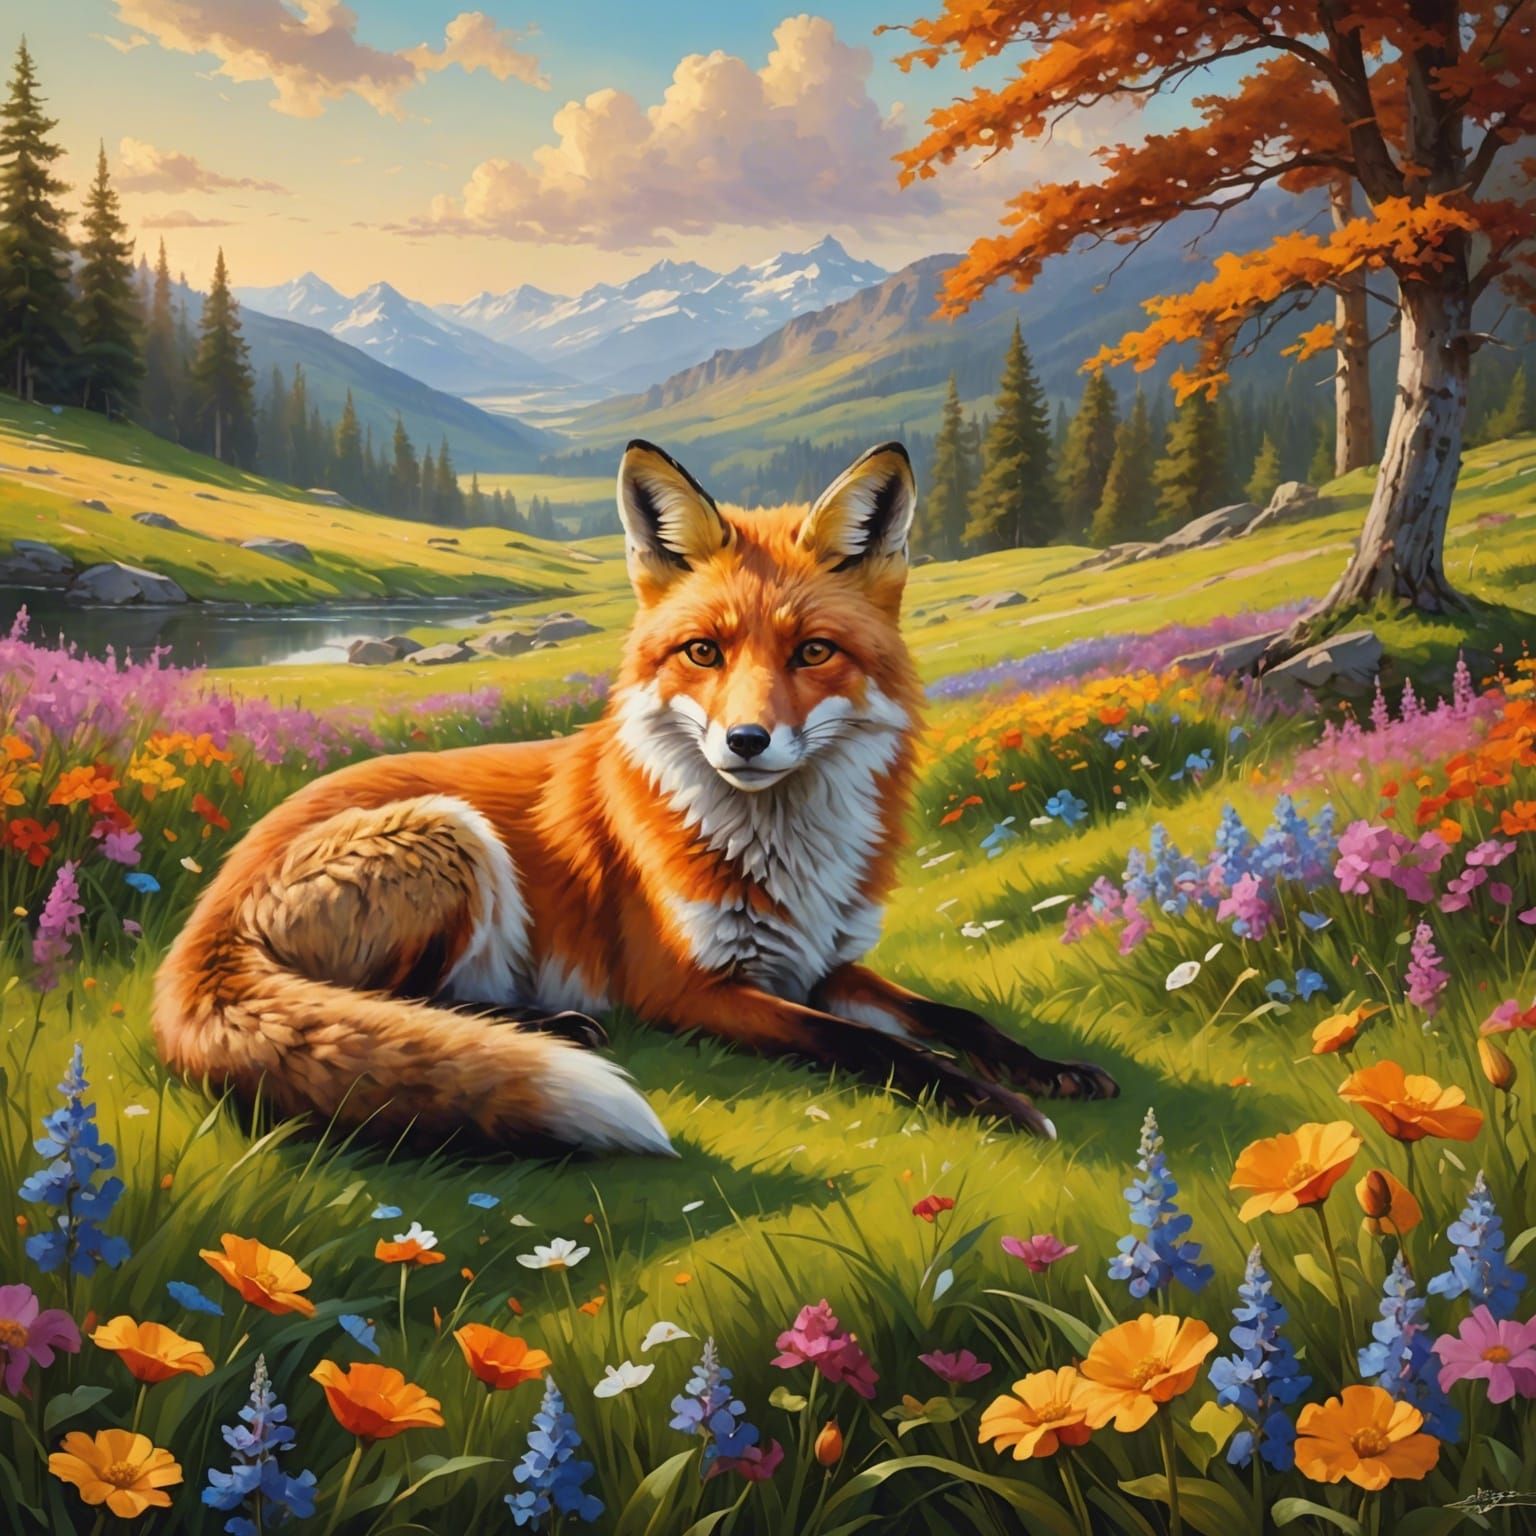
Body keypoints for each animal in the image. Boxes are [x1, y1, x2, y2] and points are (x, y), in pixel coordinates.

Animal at [153, 439, 1118, 1156]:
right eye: (704, 652)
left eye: (812, 652)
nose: (746, 742)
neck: (785, 856)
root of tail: (206, 914)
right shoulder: (691, 988)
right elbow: (871, 1044)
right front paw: (995, 1104)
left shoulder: (826, 962)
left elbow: (952, 1015)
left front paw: (1047, 1068)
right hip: (450, 835)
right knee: (398, 1006)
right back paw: (551, 1027)